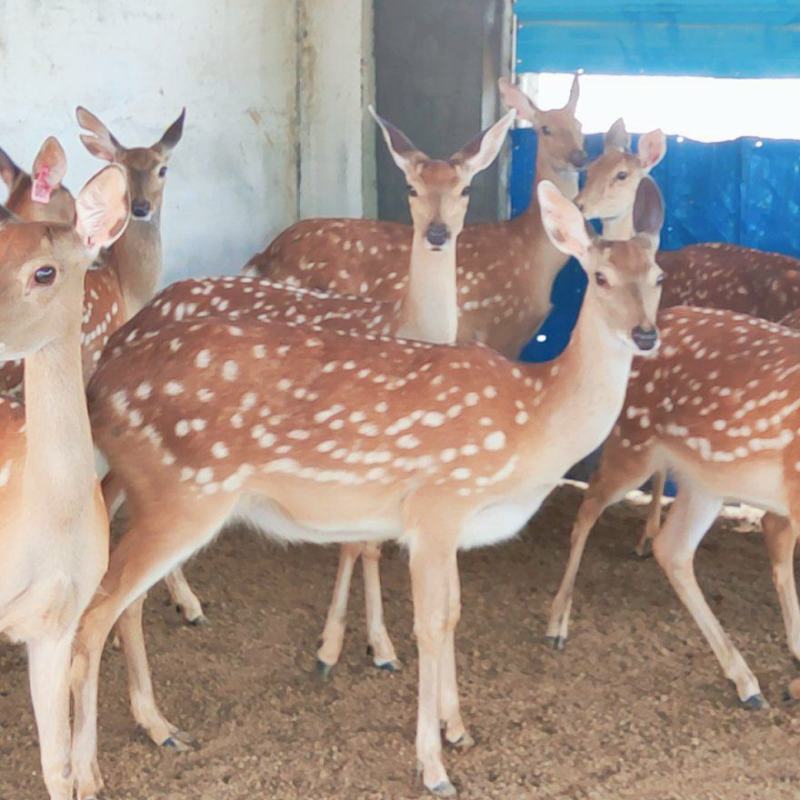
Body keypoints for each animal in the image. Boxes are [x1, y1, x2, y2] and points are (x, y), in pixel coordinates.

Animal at [69, 177, 660, 800]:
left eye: (658, 275)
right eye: (599, 276)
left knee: (123, 606)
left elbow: (454, 613)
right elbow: (429, 625)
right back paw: (86, 773)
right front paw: (433, 766)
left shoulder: (451, 526)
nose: (646, 334)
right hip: (183, 494)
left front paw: (457, 728)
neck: (534, 418)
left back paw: (159, 727)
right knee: (94, 613)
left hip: (162, 497)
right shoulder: (437, 504)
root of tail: (99, 385)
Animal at [103, 111, 516, 676]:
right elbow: (359, 546)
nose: (437, 232)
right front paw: (348, 648)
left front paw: (370, 647)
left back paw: (179, 604)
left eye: (466, 187)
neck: (404, 324)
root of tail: (132, 325)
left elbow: (364, 542)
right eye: (411, 186)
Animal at [244, 76, 588, 358]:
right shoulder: (501, 327)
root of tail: (264, 254)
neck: (532, 256)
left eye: (580, 126)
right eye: (545, 129)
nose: (580, 157)